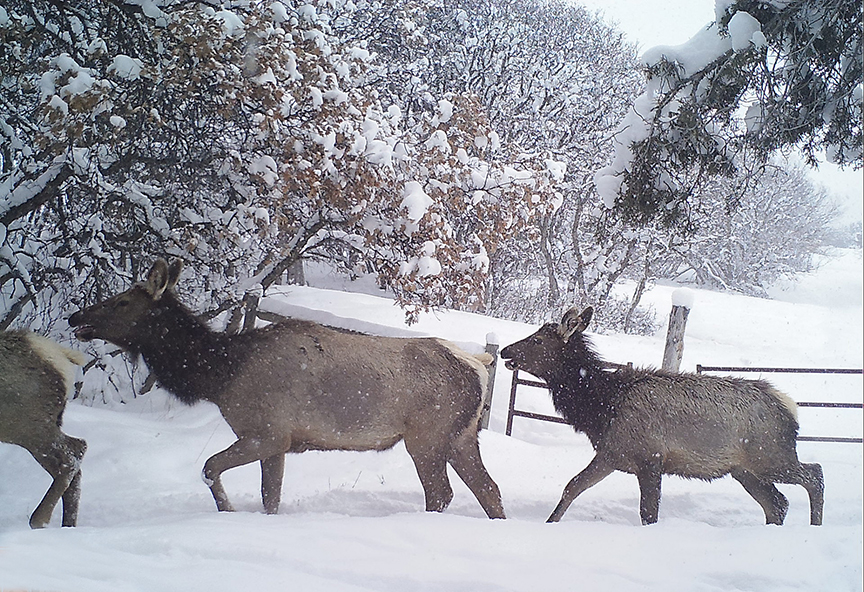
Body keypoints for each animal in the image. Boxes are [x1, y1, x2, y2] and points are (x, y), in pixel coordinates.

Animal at [69, 260, 506, 520]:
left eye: (122, 302)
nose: (76, 317)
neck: (220, 376)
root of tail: (478, 366)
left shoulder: (265, 432)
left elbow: (209, 468)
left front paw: (228, 511)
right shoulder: (279, 442)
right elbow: (270, 498)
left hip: (427, 436)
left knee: (442, 493)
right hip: (461, 436)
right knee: (489, 488)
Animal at [500, 308, 824, 524]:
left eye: (538, 340)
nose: (505, 351)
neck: (602, 408)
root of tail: (789, 408)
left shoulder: (650, 457)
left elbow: (649, 512)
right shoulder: (612, 455)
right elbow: (572, 487)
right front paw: (549, 523)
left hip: (770, 456)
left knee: (814, 475)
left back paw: (814, 526)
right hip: (744, 470)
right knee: (777, 503)